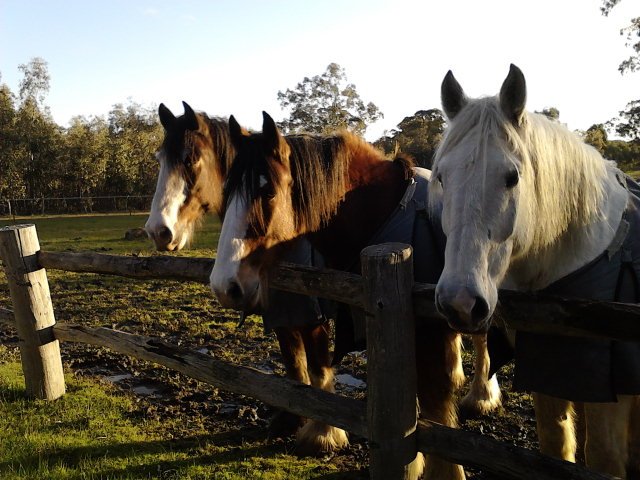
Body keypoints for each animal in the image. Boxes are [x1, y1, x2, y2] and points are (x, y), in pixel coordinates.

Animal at [144, 102, 346, 454]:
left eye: (190, 159)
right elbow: (294, 364)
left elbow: (319, 369)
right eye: (159, 160)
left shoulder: (313, 315)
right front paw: (290, 419)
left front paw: (324, 434)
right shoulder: (279, 312)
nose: (159, 231)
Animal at [210, 112, 468, 480]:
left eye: (268, 191)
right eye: (227, 194)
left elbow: (436, 403)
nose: (224, 285)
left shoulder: (427, 331)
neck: (384, 212)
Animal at [431, 64, 640, 477]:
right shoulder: (551, 375)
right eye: (442, 177)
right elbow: (556, 446)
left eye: (512, 177)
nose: (460, 302)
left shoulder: (614, 392)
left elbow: (604, 456)